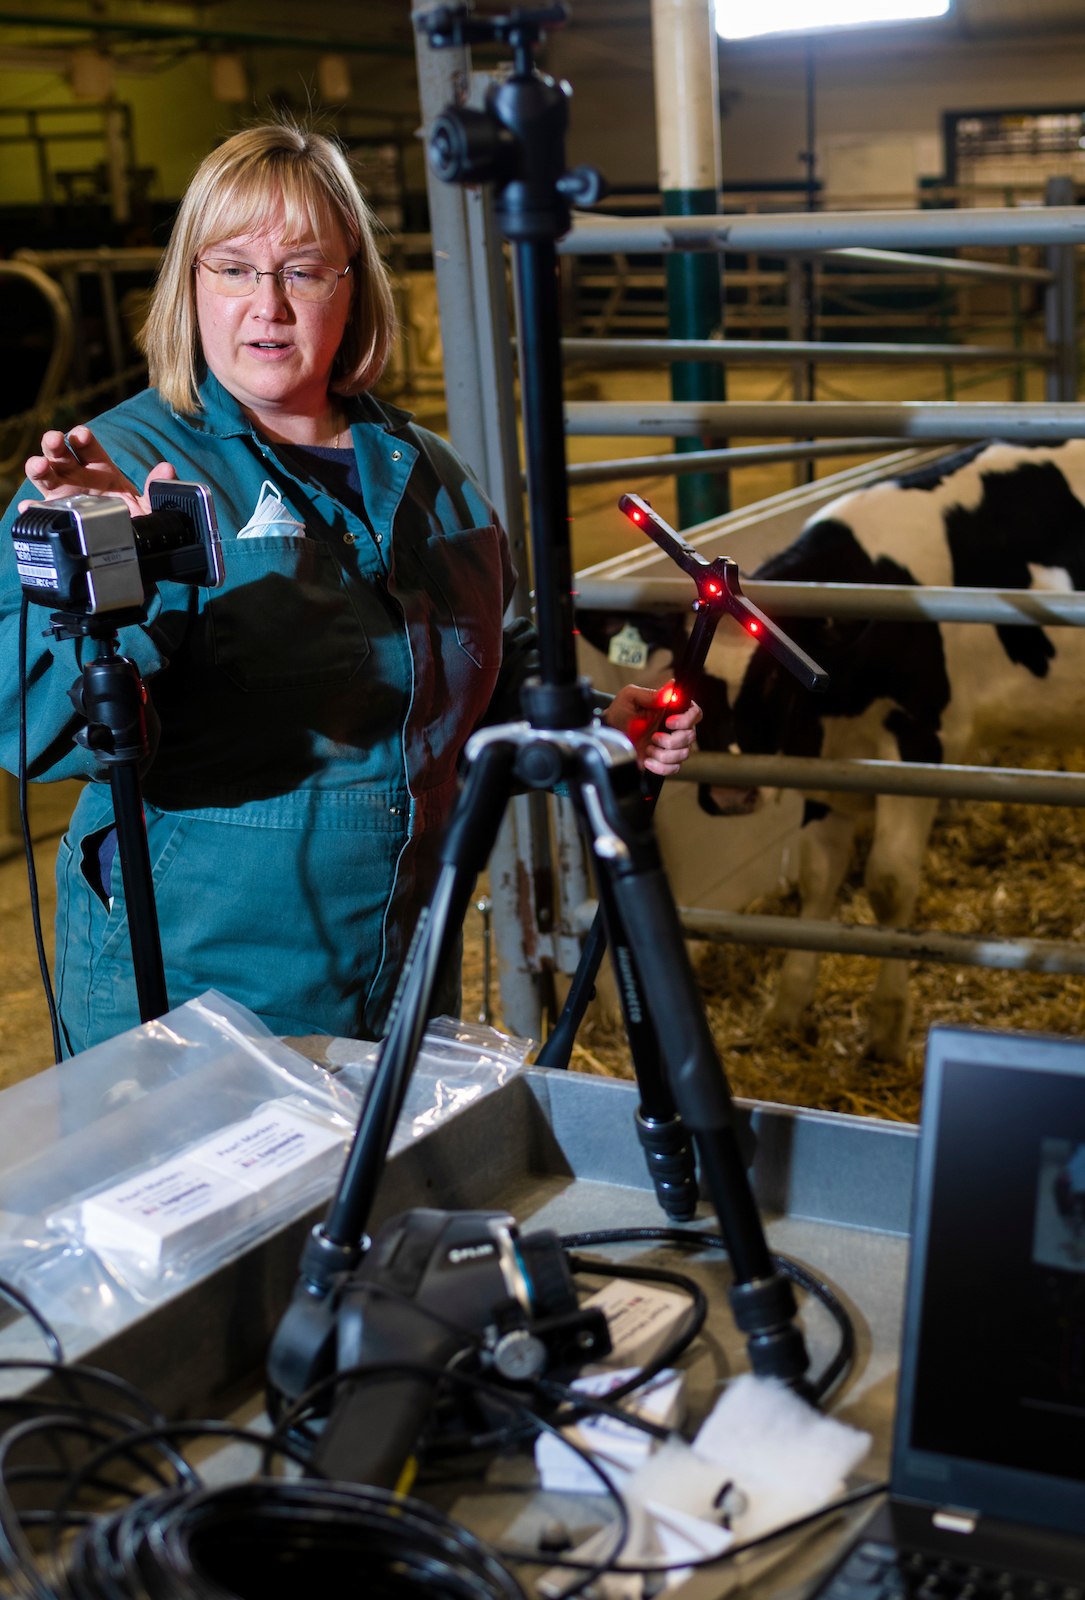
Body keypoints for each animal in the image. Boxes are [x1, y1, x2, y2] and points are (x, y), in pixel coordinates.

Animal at [592, 438, 1085, 1062]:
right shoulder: (830, 764)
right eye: (689, 674)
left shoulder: (920, 748)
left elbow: (890, 883)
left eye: (773, 683)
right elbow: (817, 875)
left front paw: (886, 1025)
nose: (729, 797)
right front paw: (788, 1005)